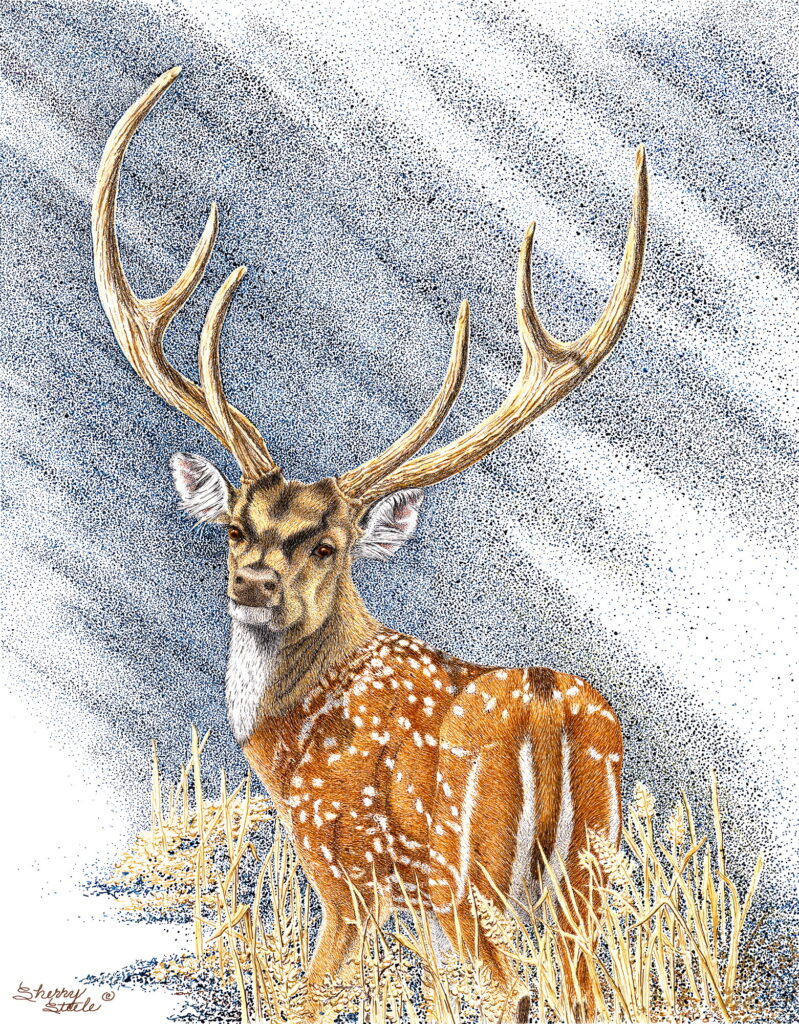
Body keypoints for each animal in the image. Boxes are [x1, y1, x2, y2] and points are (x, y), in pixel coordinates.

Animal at [93, 68, 648, 1023]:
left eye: (327, 546)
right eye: (235, 526)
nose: (252, 583)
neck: (284, 739)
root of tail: (549, 708)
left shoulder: (343, 870)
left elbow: (311, 996)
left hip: (464, 880)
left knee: (512, 992)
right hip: (585, 875)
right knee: (588, 994)